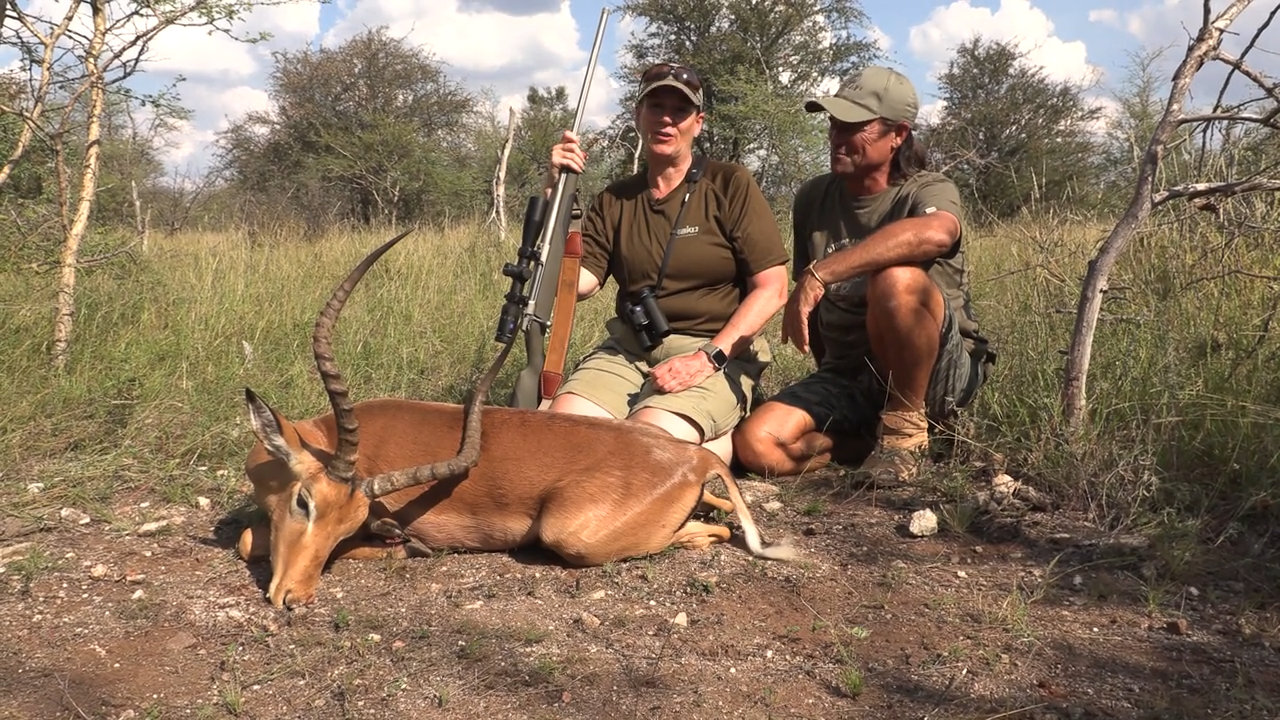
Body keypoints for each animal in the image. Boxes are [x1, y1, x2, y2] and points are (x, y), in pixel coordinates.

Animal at [236, 230, 797, 609]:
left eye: (342, 518)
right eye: (304, 502)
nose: (294, 597)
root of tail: (692, 457)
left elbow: (249, 540)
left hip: (568, 535)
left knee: (713, 531)